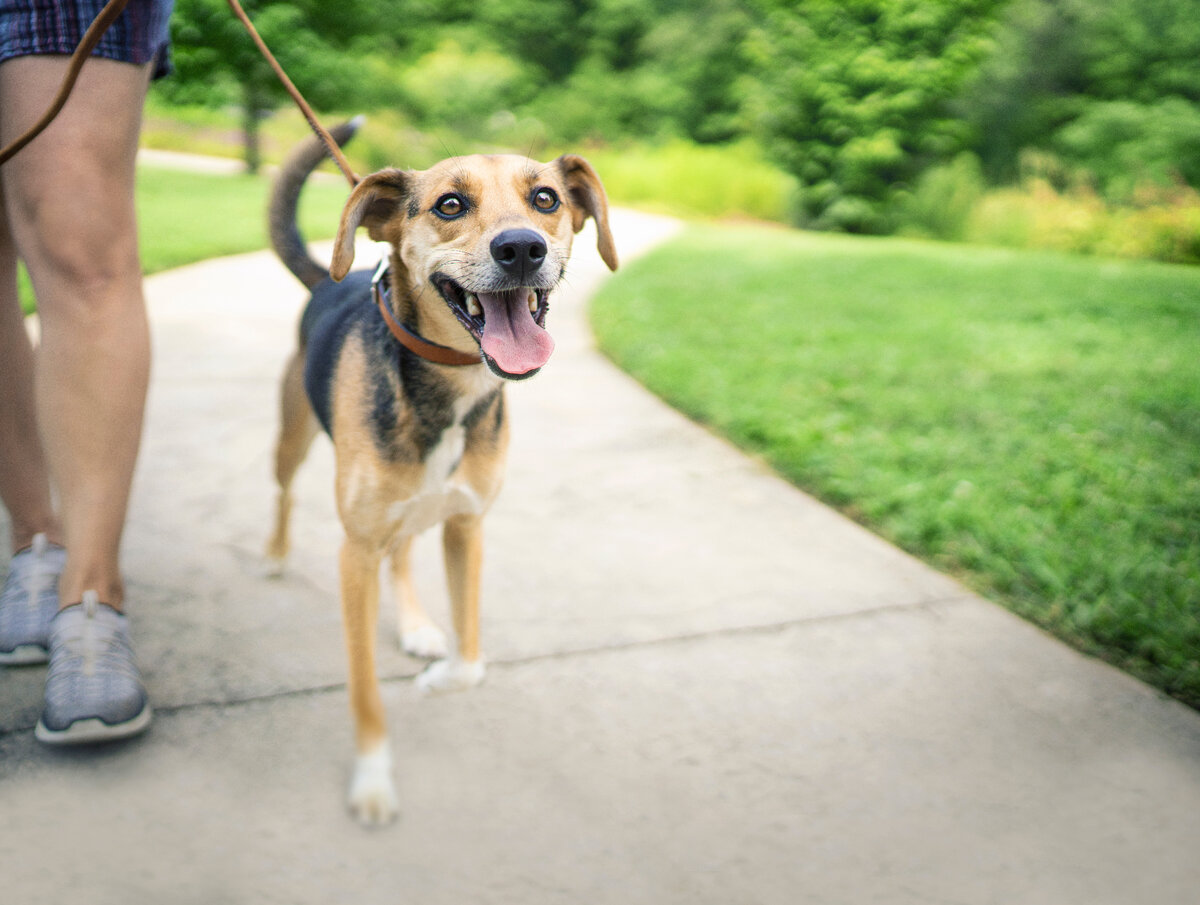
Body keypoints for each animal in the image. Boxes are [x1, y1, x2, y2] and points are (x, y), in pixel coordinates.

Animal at [264, 121, 619, 825]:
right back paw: (275, 554)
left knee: (401, 553)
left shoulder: (466, 525)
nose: (522, 248)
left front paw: (437, 678)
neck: (453, 382)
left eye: (545, 198)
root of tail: (328, 280)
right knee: (285, 492)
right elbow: (365, 690)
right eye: (450, 205)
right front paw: (374, 779)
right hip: (293, 438)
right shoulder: (354, 552)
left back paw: (415, 625)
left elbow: (472, 655)